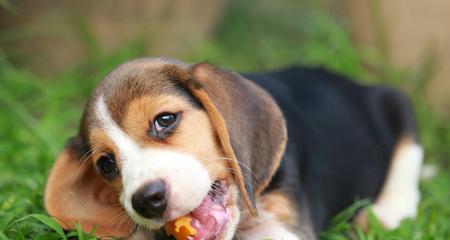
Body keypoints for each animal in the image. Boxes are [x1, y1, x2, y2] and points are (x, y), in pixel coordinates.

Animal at [44, 57, 424, 239]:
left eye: (165, 120)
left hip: (397, 103)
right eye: (107, 165)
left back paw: (386, 213)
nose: (145, 200)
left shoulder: (285, 226)